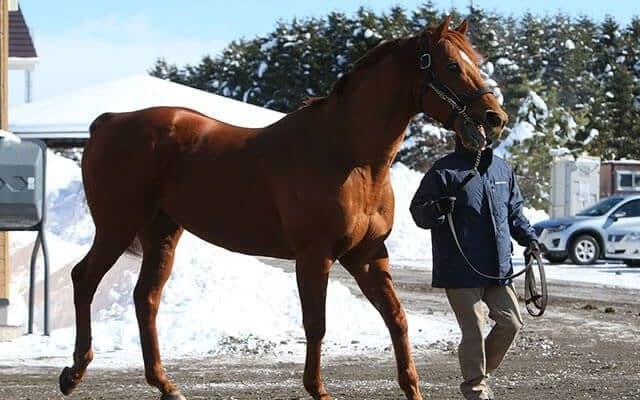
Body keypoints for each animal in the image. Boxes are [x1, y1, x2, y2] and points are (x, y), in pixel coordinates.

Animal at [59, 16, 507, 400]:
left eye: (476, 61)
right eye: (452, 65)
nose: (495, 118)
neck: (349, 156)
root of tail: (109, 121)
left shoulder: (368, 255)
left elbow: (396, 317)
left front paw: (412, 388)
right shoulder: (316, 257)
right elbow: (317, 323)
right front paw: (318, 390)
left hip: (162, 234)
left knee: (146, 298)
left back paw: (166, 385)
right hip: (116, 228)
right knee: (85, 279)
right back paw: (73, 373)